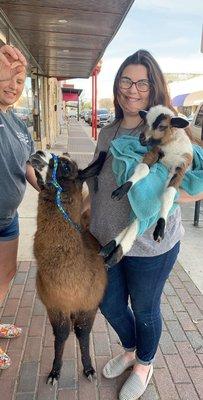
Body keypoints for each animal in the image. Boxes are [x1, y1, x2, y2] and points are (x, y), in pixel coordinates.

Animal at [29, 149, 108, 384]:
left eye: (66, 167)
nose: (38, 152)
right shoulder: (54, 304)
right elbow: (61, 334)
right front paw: (55, 372)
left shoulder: (90, 304)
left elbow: (82, 332)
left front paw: (89, 369)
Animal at [100, 105, 193, 266]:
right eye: (146, 122)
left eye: (162, 126)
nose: (141, 138)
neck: (170, 145)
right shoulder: (155, 152)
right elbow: (144, 169)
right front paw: (122, 190)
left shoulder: (181, 166)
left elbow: (169, 194)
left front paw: (161, 227)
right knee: (135, 222)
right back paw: (109, 249)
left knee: (138, 221)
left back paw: (114, 254)